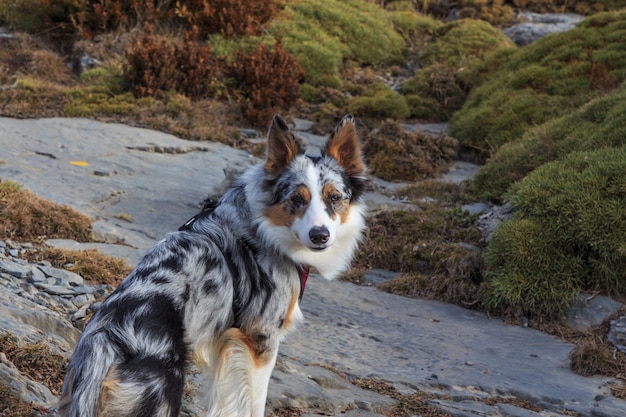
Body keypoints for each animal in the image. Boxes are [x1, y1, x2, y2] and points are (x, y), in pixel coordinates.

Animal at [58, 114, 366, 416]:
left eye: (335, 198)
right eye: (297, 199)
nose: (320, 235)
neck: (264, 228)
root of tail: (104, 342)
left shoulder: (228, 346)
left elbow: (225, 401)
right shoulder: (260, 338)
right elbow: (254, 403)